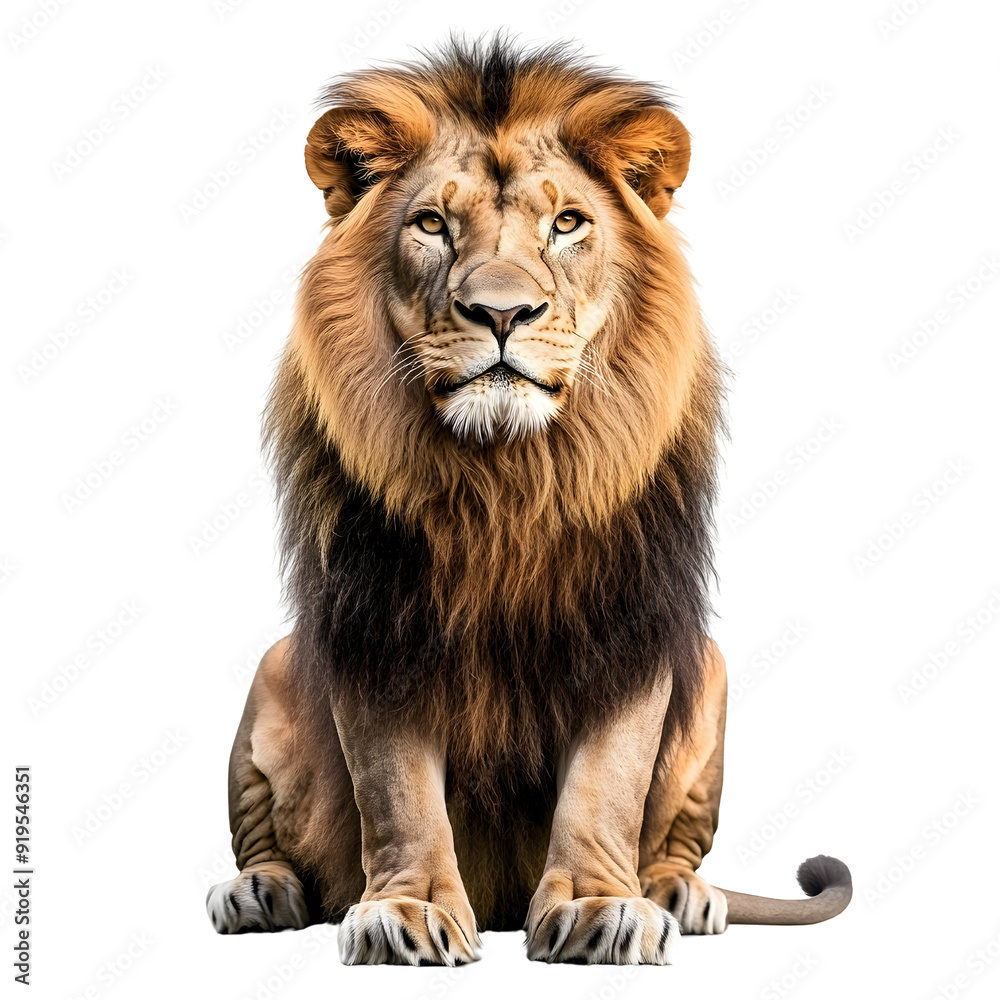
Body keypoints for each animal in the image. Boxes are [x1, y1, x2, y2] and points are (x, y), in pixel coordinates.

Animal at [206, 37, 851, 965]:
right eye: (432, 225)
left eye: (568, 223)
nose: (502, 312)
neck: (507, 479)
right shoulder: (376, 619)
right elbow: (395, 790)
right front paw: (404, 911)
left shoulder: (629, 619)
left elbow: (607, 781)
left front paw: (599, 906)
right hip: (275, 667)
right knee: (270, 836)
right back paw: (260, 889)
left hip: (712, 673)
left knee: (675, 846)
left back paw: (678, 893)